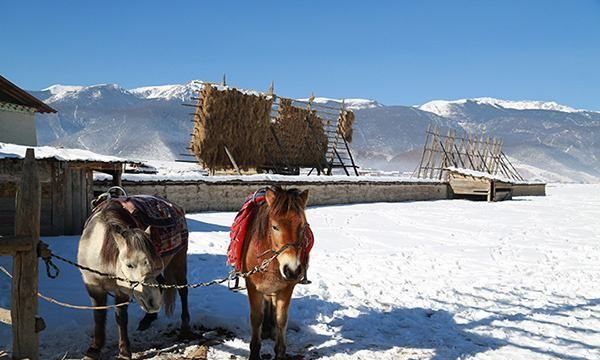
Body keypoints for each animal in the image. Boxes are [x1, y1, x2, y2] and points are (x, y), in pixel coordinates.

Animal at [77, 198, 189, 358]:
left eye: (157, 264)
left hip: (179, 260)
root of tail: (174, 206)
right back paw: (147, 320)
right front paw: (94, 349)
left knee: (183, 290)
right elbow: (99, 316)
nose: (153, 302)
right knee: (162, 284)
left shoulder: (121, 291)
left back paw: (185, 328)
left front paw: (124, 351)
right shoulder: (94, 287)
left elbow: (121, 318)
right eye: (129, 265)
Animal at [243, 187, 312, 358]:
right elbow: (256, 318)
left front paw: (280, 352)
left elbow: (281, 318)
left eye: (303, 227)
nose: (292, 270)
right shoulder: (252, 287)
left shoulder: (286, 288)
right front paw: (254, 351)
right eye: (275, 226)